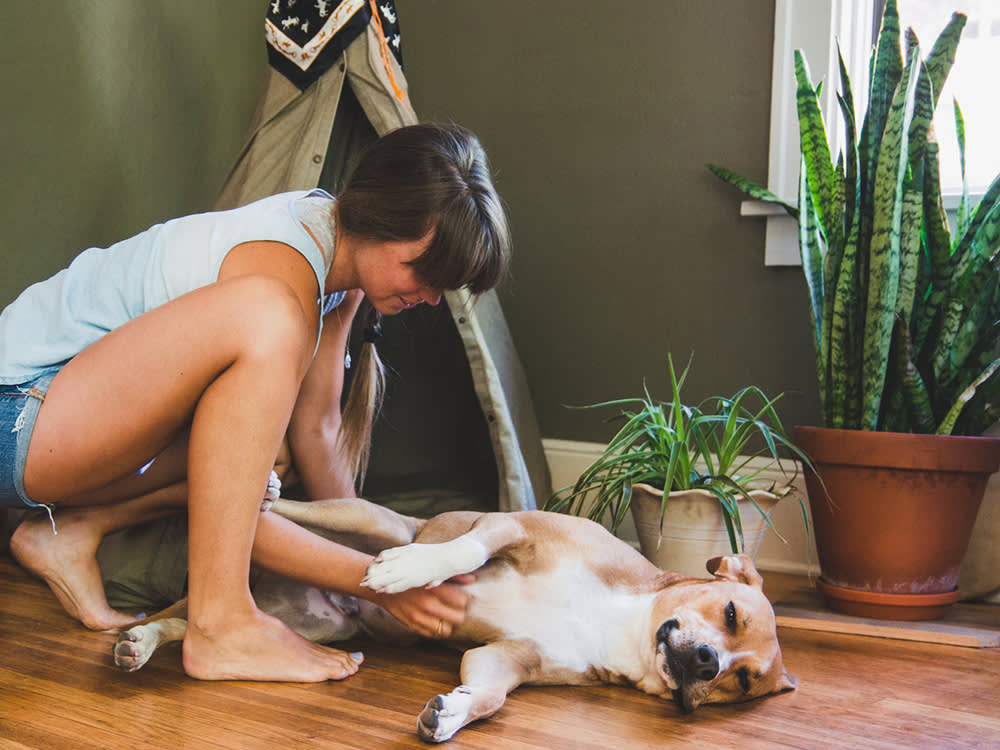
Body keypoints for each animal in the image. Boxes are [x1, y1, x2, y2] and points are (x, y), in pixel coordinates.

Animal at [111, 500, 796, 748]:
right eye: (730, 612)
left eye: (739, 684)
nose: (708, 663)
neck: (623, 621)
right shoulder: (511, 527)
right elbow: (463, 552)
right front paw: (411, 572)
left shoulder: (509, 657)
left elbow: (490, 696)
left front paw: (453, 712)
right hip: (368, 518)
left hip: (311, 628)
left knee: (190, 625)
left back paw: (143, 642)